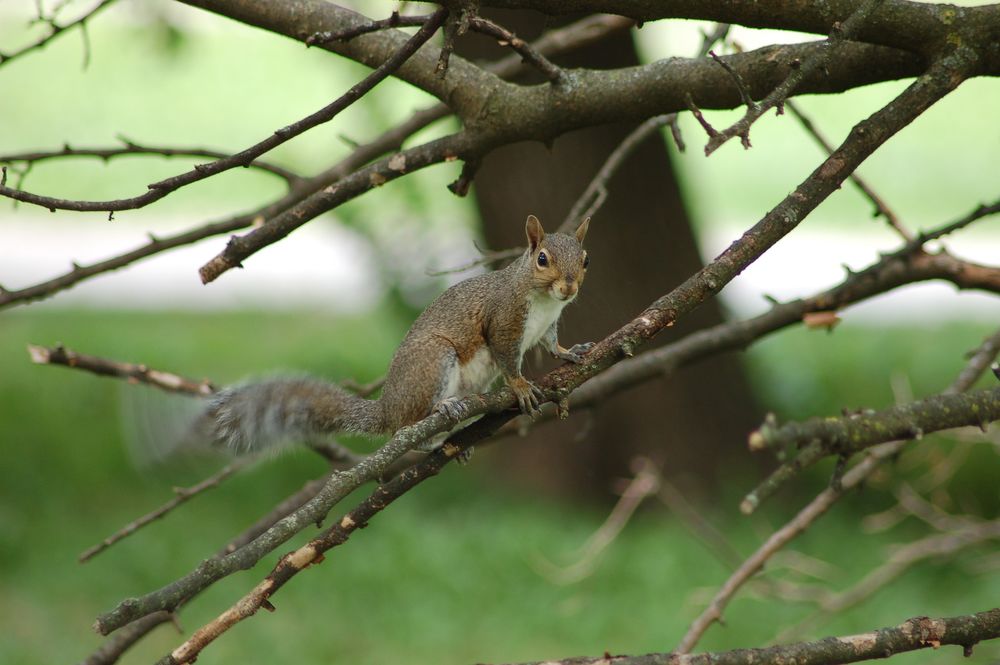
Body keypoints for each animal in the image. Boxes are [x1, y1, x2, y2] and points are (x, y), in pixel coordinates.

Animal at [192, 214, 593, 455]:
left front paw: (571, 351)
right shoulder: (503, 321)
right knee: (407, 428)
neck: (544, 302)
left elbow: (552, 344)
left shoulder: (546, 325)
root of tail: (388, 406)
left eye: (586, 259)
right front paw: (522, 386)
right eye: (542, 259)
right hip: (433, 361)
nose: (569, 288)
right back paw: (441, 409)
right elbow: (508, 359)